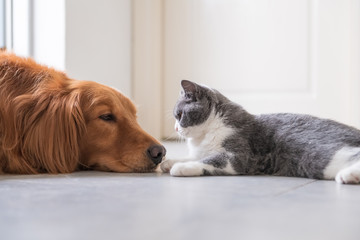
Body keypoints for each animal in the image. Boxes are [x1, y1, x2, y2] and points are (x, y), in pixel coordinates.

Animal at [162, 79, 360, 184]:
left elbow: (208, 161)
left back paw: (347, 175)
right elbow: (193, 156)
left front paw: (181, 167)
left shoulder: (237, 156)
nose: (175, 128)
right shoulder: (201, 151)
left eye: (180, 115)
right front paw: (168, 162)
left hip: (324, 154)